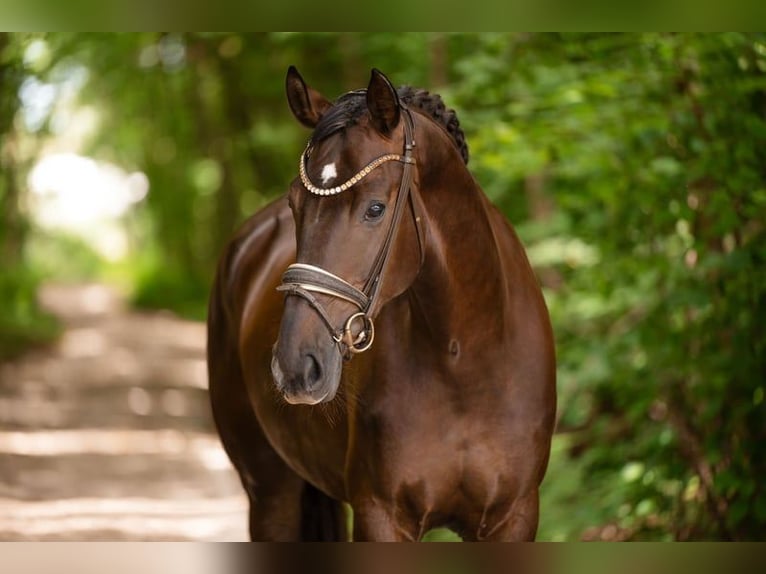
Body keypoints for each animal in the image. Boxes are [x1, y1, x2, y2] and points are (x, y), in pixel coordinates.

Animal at [207, 67, 556, 541]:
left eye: (375, 209)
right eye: (295, 204)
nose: (296, 366)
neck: (465, 359)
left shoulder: (514, 517)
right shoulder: (380, 516)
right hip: (270, 493)